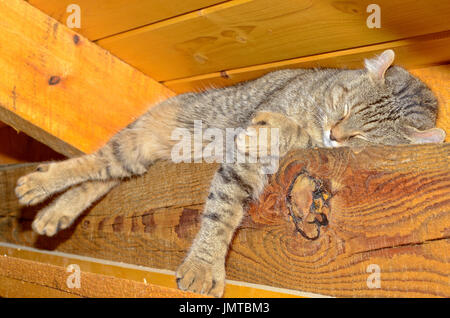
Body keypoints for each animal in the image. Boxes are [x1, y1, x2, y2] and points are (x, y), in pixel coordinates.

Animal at [14, 49, 446, 296]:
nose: (335, 133)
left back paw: (55, 213)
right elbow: (221, 211)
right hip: (139, 140)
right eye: (344, 107)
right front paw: (204, 266)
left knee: (102, 175)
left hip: (134, 156)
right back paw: (37, 185)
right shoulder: (247, 145)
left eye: (359, 136)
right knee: (92, 163)